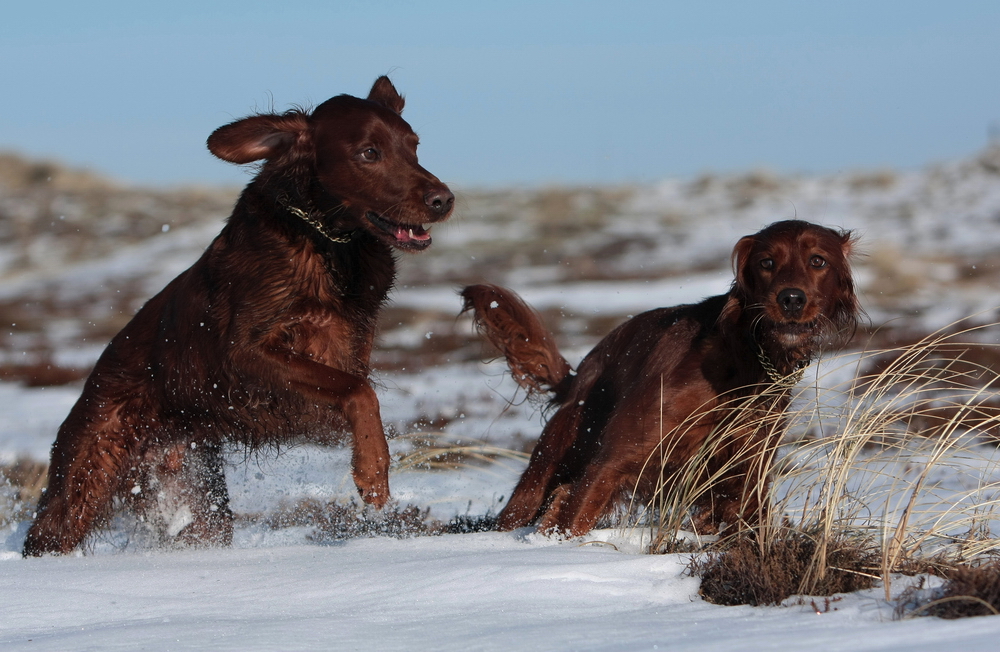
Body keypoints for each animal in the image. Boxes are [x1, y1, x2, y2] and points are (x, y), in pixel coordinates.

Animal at [24, 76, 454, 556]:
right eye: (369, 153)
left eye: (414, 147)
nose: (444, 200)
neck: (324, 241)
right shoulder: (241, 355)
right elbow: (358, 391)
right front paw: (373, 472)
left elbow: (357, 387)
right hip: (85, 474)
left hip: (196, 496)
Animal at [460, 222, 860, 536]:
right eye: (766, 263)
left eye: (818, 261)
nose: (791, 299)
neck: (742, 355)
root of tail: (580, 374)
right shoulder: (614, 460)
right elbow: (574, 516)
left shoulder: (747, 473)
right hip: (552, 461)